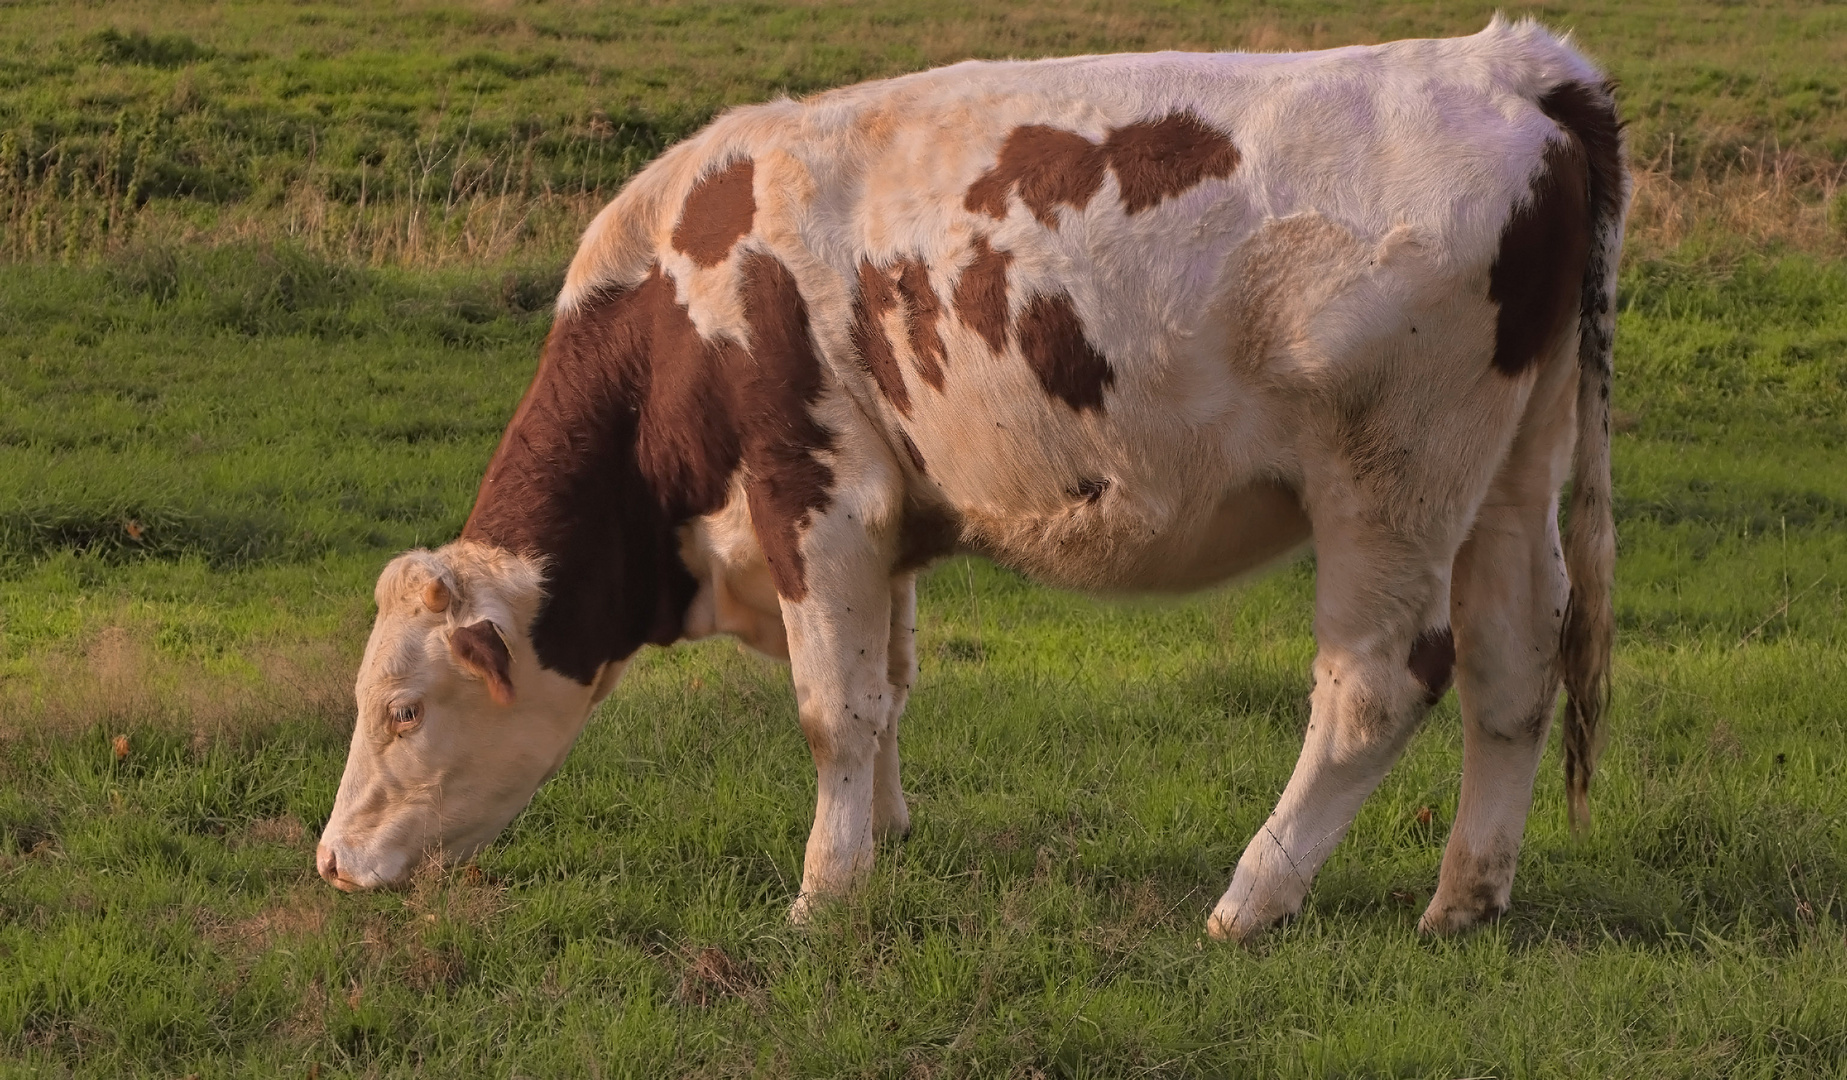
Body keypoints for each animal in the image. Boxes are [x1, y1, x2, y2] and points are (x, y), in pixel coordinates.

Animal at [321, 18, 1632, 945]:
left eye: (402, 709)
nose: (332, 861)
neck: (678, 299)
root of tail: (1513, 64)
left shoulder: (814, 496)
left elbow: (831, 707)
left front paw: (823, 893)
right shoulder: (885, 519)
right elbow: (889, 687)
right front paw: (887, 838)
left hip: (1387, 482)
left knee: (1376, 684)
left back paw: (1251, 898)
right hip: (1509, 471)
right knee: (1513, 667)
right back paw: (1463, 897)